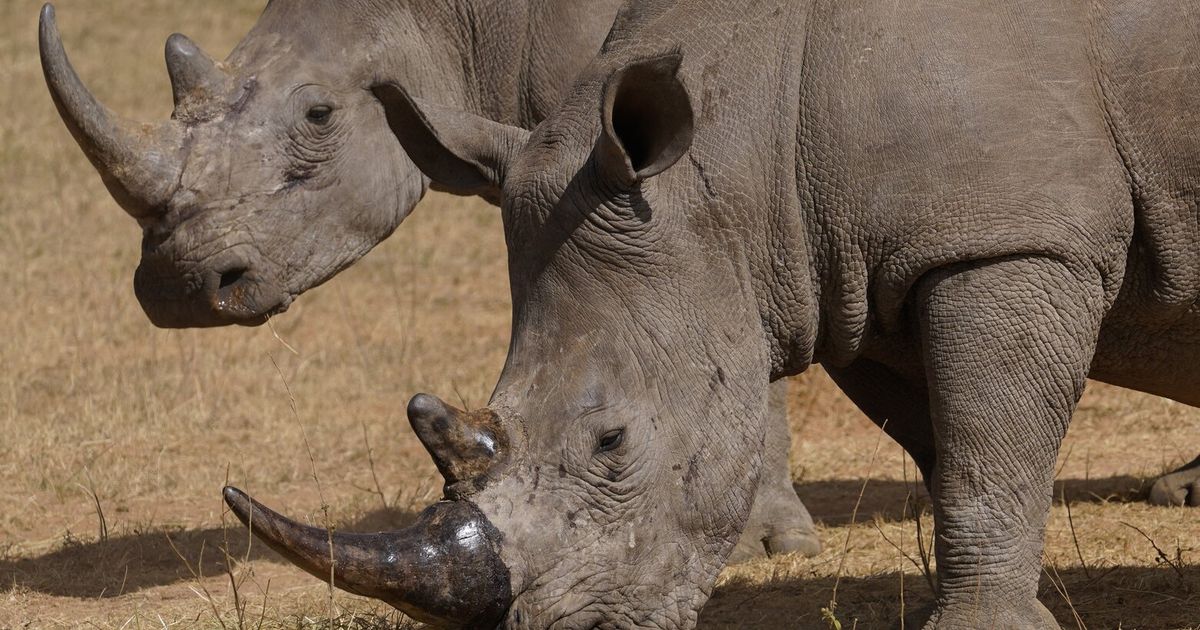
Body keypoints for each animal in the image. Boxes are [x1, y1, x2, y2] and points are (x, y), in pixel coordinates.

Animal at [217, 0, 1200, 627]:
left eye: (612, 442)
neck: (745, 148)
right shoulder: (857, 274)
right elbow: (951, 448)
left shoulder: (1004, 239)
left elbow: (985, 452)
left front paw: (982, 625)